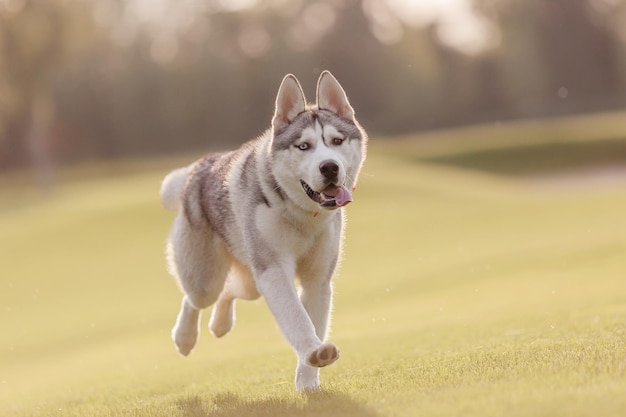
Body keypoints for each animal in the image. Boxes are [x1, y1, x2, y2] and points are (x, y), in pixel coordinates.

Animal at [158, 71, 368, 390]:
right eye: (303, 146)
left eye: (336, 141)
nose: (329, 167)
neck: (301, 215)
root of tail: (196, 169)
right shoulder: (273, 271)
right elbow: (296, 318)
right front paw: (314, 352)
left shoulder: (317, 280)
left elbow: (312, 318)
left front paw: (308, 382)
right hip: (207, 278)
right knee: (195, 298)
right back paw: (184, 337)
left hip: (250, 281)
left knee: (230, 290)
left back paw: (220, 324)